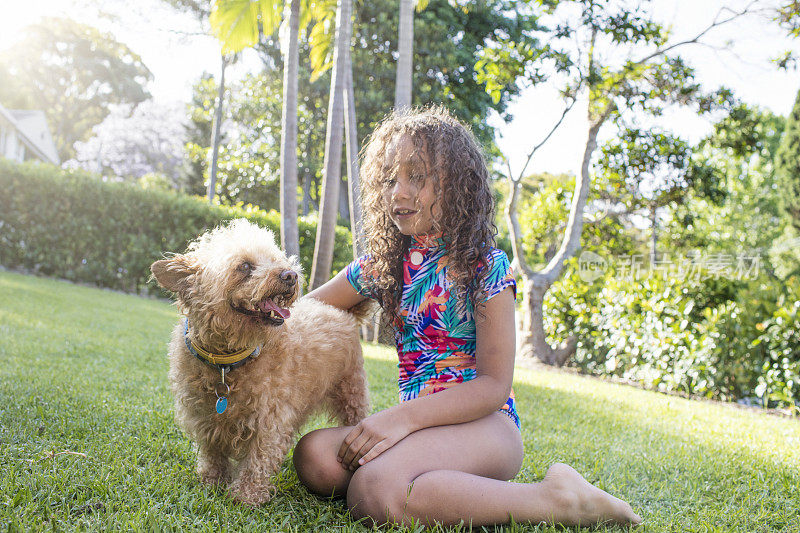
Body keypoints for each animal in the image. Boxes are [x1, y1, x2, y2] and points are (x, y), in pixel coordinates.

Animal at [152, 218, 370, 504]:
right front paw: (212, 483)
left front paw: (246, 496)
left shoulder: (270, 418)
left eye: (276, 258)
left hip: (351, 392)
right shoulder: (204, 416)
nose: (291, 275)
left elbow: (258, 458)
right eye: (244, 266)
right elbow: (212, 452)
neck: (227, 361)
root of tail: (344, 314)